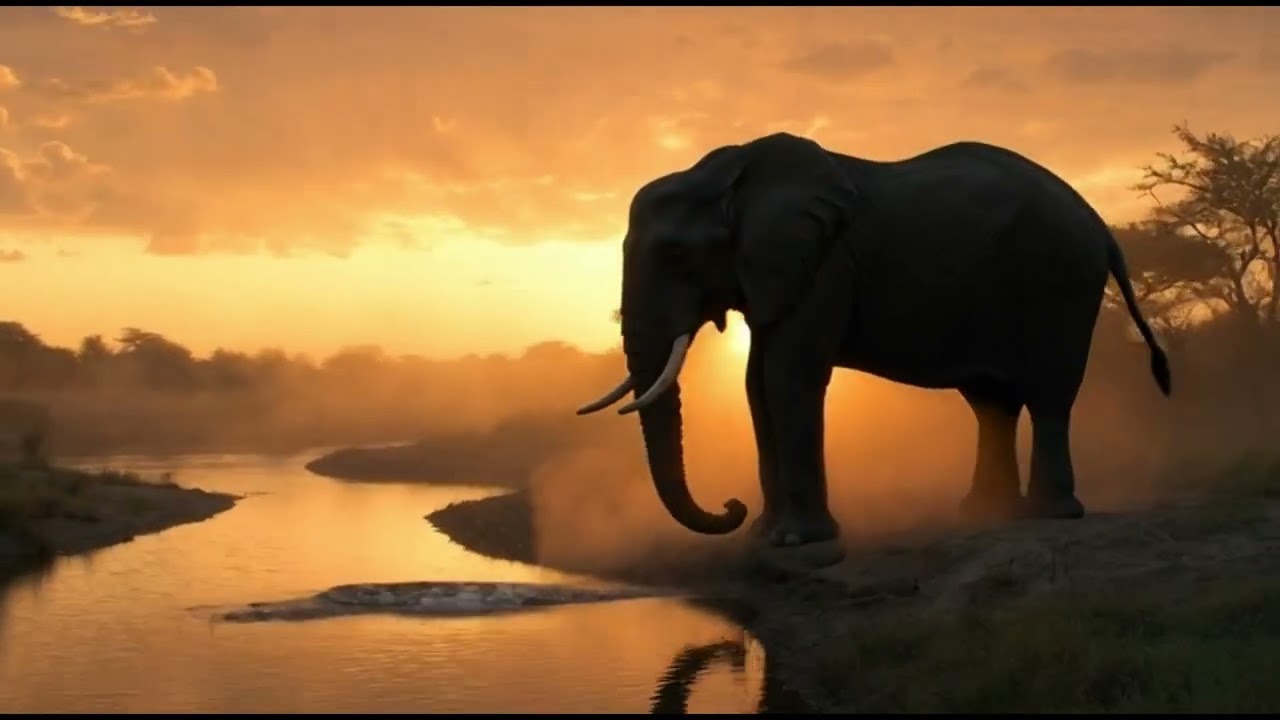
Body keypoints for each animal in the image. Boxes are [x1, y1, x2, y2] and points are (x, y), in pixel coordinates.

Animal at [576, 132, 1171, 566]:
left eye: (675, 253)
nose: (731, 505)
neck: (730, 173)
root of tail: (1099, 222)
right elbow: (755, 384)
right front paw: (764, 539)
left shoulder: (826, 264)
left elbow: (787, 376)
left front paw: (798, 541)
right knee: (991, 402)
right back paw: (987, 516)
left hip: (1060, 280)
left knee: (1048, 396)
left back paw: (1052, 515)